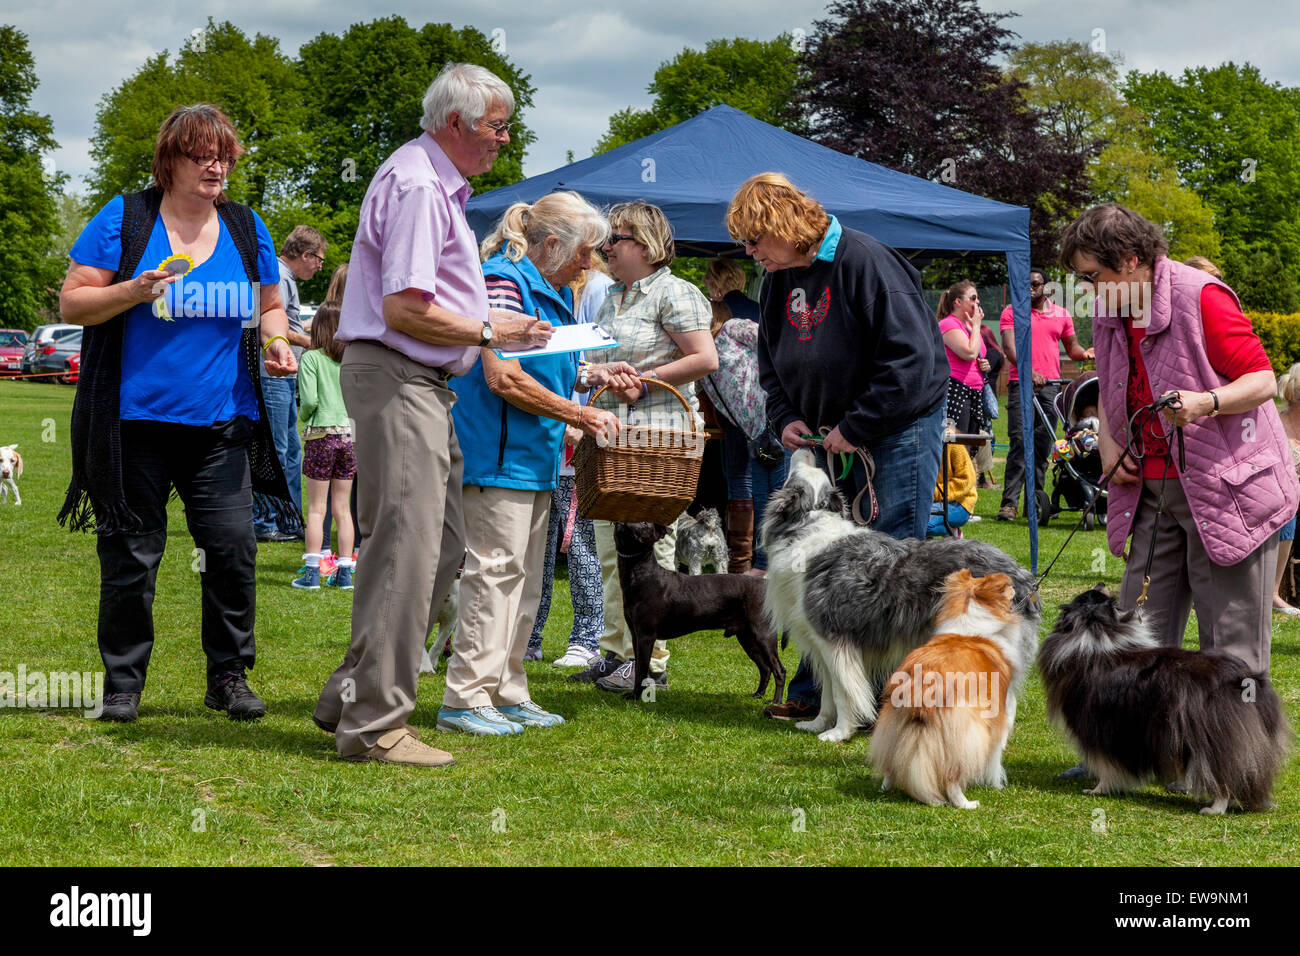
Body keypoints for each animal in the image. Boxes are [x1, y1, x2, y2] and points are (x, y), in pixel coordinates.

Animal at [616, 522, 785, 702]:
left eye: (645, 524)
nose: (625, 522)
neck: (642, 575)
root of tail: (765, 586)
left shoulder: (646, 636)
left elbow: (641, 669)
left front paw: (636, 696)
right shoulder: (636, 635)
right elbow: (639, 667)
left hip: (763, 635)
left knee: (779, 669)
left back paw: (775, 701)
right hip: (747, 637)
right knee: (765, 668)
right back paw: (758, 694)